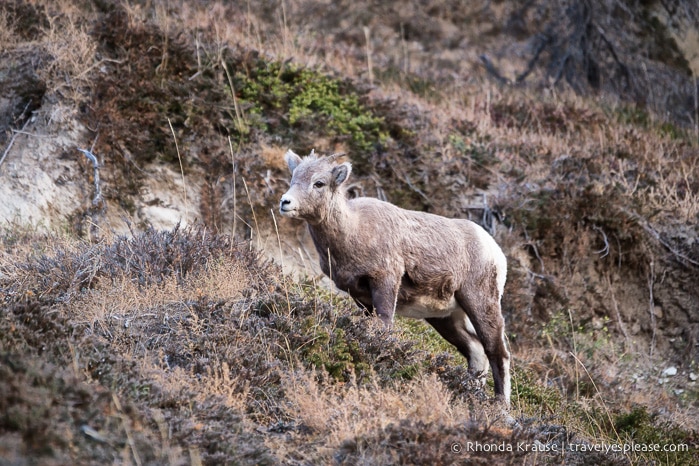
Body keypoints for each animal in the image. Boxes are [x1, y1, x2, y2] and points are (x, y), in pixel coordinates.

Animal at [278, 150, 516, 404]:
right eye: (293, 178)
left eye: (319, 183)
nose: (285, 202)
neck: (353, 231)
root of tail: (495, 252)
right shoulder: (362, 299)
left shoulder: (385, 283)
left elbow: (384, 327)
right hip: (445, 317)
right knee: (475, 349)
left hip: (480, 302)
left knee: (497, 352)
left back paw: (501, 406)